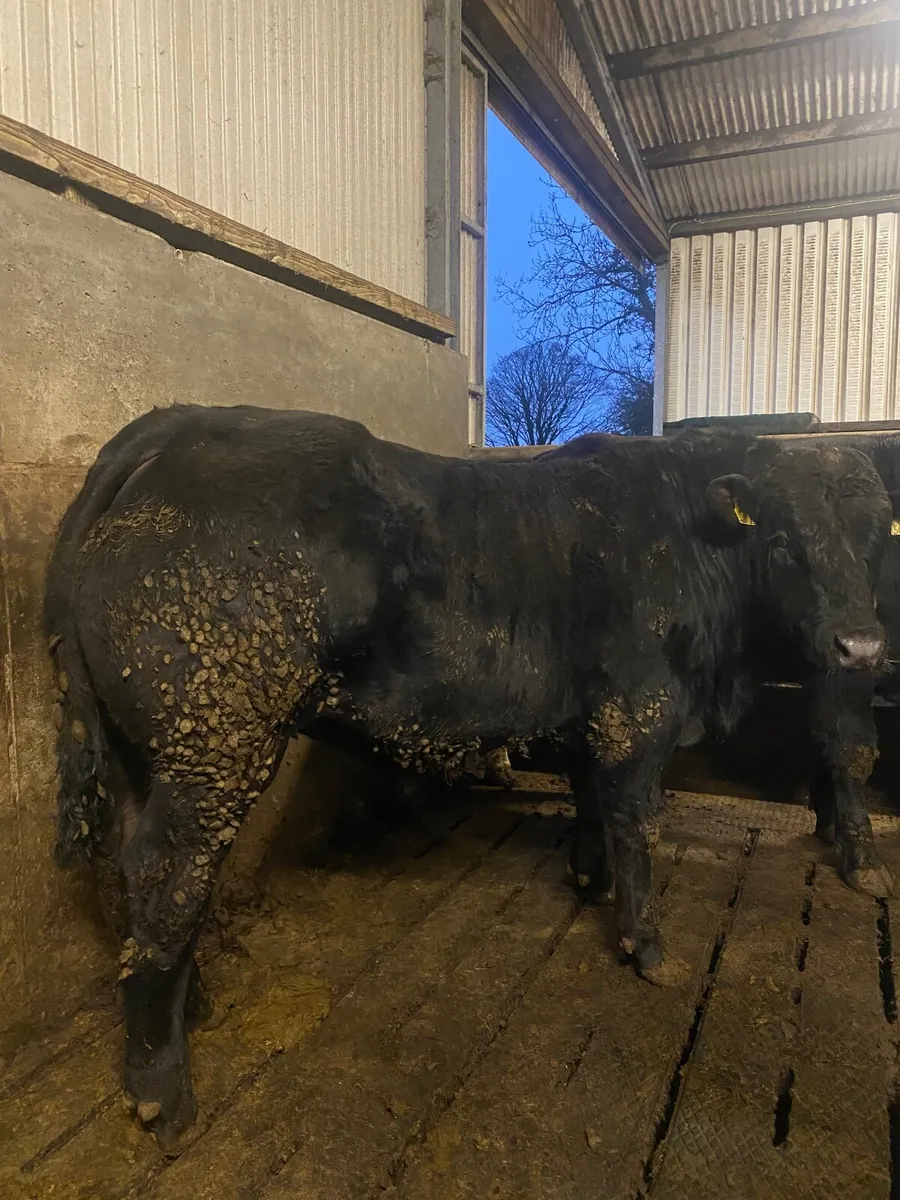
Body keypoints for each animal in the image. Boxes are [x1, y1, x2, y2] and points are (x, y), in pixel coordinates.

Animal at [44, 404, 890, 1144]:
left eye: (876, 537)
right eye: (783, 541)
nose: (859, 645)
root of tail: (182, 421)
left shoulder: (590, 714)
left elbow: (592, 801)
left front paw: (590, 880)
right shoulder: (639, 711)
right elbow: (635, 824)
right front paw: (645, 942)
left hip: (146, 750)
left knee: (131, 874)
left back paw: (192, 1006)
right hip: (217, 739)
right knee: (169, 876)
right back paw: (162, 1091)